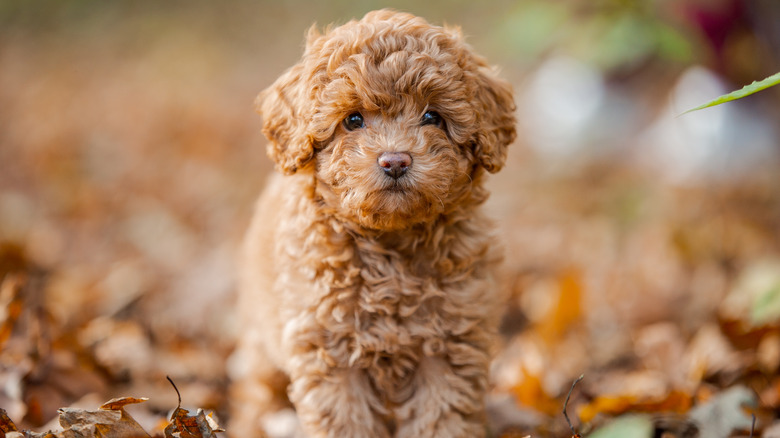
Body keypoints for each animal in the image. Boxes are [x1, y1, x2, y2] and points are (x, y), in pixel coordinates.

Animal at [229, 10, 516, 438]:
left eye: (432, 117)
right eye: (352, 120)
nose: (395, 160)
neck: (390, 243)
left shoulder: (448, 342)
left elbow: (441, 415)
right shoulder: (330, 348)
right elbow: (344, 419)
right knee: (260, 390)